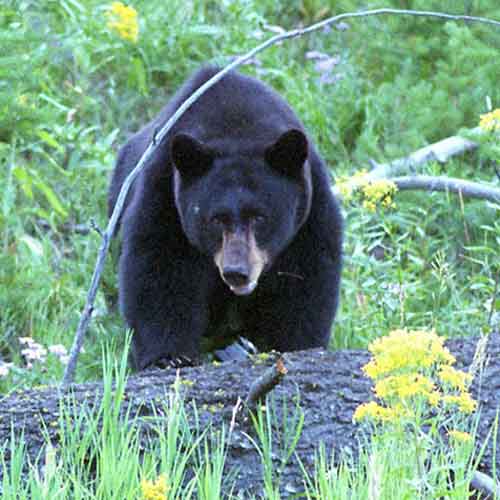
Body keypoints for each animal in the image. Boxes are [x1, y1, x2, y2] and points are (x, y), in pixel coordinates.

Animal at [109, 66, 344, 370]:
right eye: (216, 219)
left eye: (260, 217)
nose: (236, 272)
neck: (237, 131)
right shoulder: (164, 197)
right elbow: (158, 271)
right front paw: (168, 356)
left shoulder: (311, 213)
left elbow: (306, 281)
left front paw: (298, 346)